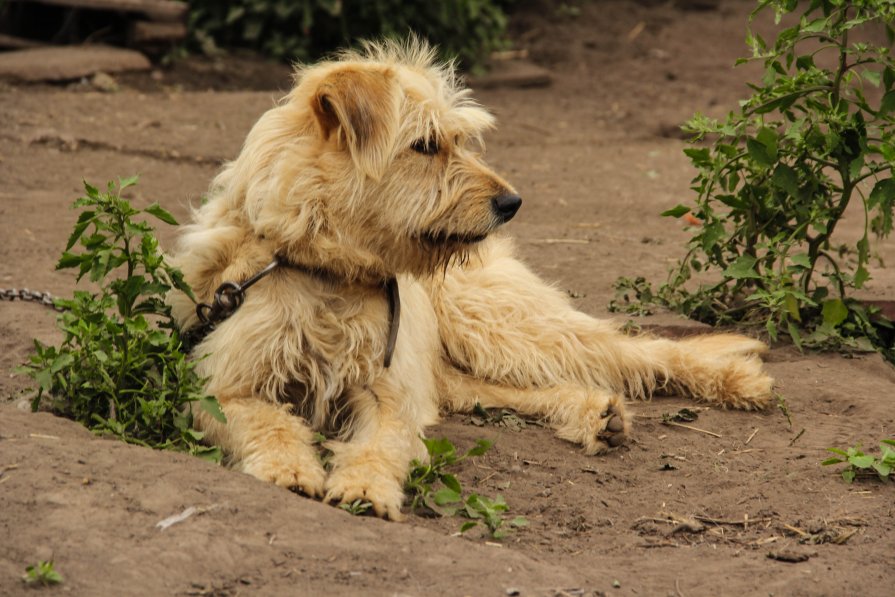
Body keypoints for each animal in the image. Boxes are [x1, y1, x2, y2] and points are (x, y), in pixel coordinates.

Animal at [172, 39, 772, 520]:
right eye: (425, 145)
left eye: (459, 140)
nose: (512, 203)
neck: (329, 267)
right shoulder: (223, 385)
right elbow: (269, 422)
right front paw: (289, 470)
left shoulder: (389, 392)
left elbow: (382, 443)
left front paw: (365, 486)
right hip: (457, 366)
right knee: (513, 391)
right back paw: (594, 415)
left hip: (500, 327)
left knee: (635, 352)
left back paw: (735, 380)